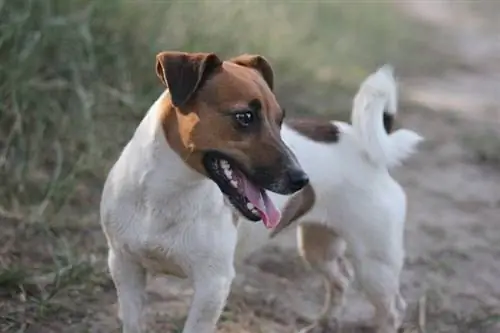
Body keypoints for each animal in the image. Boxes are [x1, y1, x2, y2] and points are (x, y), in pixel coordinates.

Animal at [99, 50, 310, 332]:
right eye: (245, 117)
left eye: (279, 120)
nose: (302, 179)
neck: (165, 195)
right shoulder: (124, 265)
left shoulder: (213, 286)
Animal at [232, 63, 424, 330]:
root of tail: (364, 150)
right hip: (319, 249)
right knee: (341, 280)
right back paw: (323, 323)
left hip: (375, 267)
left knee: (393, 311)